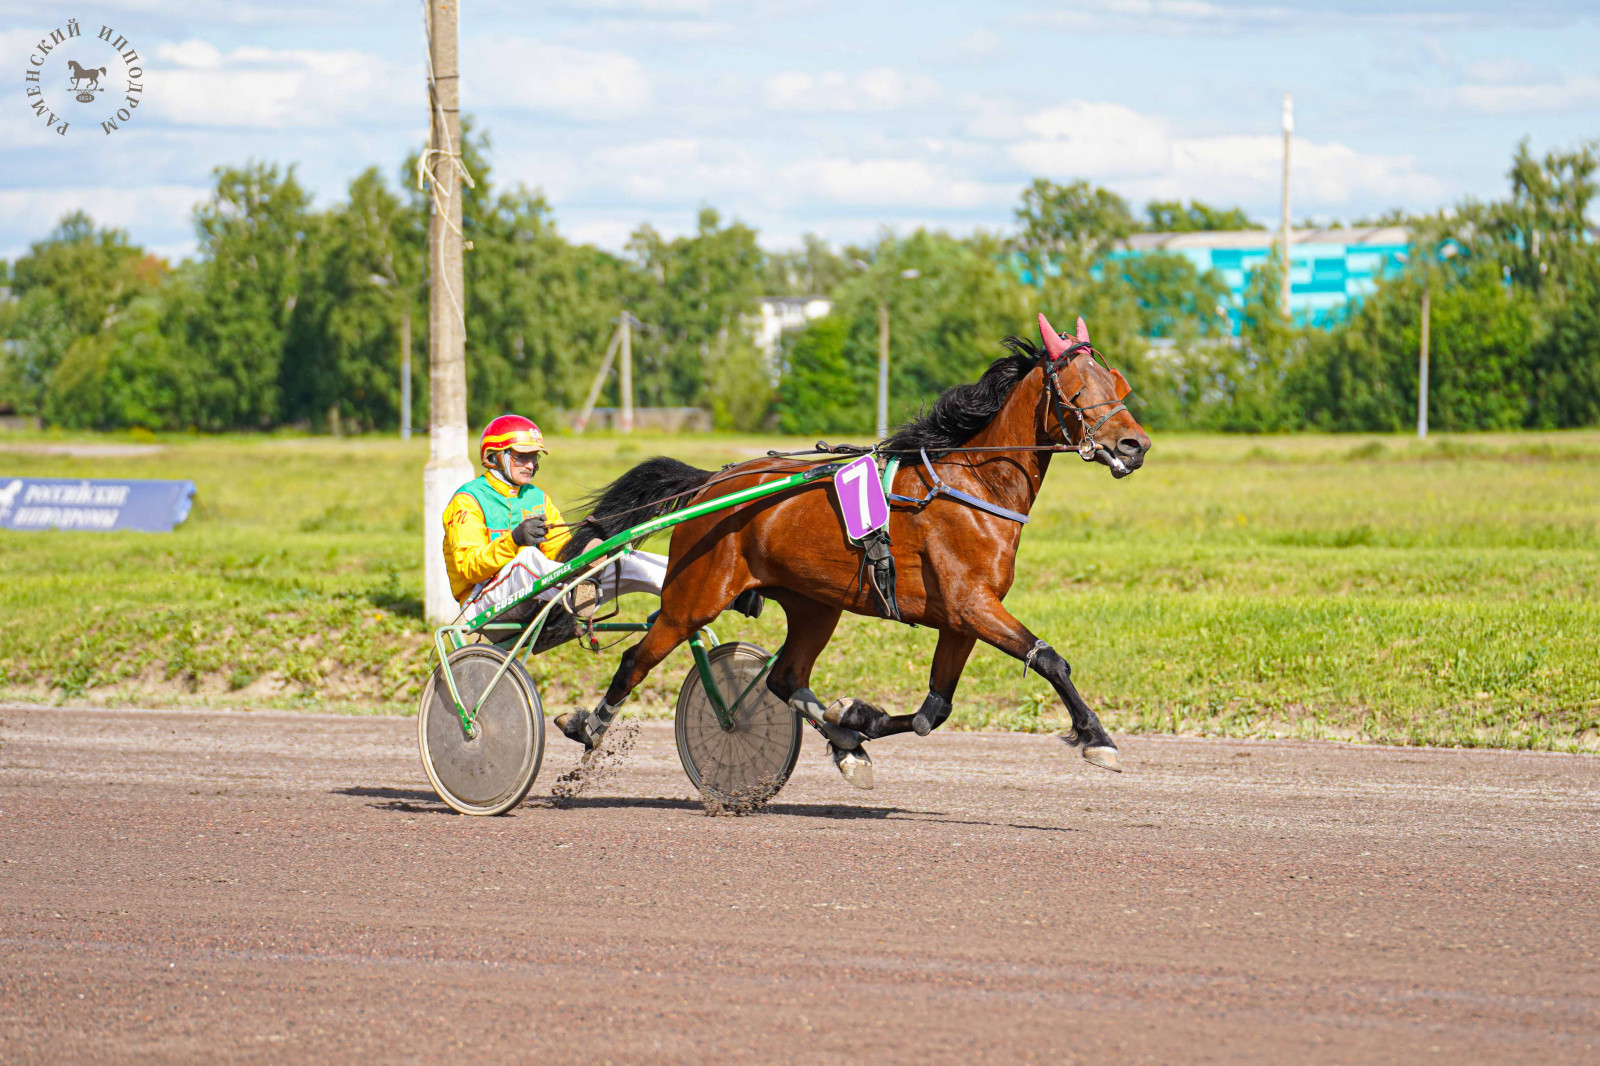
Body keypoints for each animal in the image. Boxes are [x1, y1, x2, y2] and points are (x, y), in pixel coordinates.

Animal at [556, 312, 1145, 784]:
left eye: (1117, 382)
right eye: (1074, 386)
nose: (1134, 445)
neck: (976, 486)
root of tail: (712, 484)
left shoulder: (961, 619)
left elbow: (934, 711)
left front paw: (857, 718)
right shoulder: (971, 605)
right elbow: (1049, 659)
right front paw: (1097, 739)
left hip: (815, 605)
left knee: (785, 678)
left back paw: (845, 743)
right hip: (694, 596)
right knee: (636, 658)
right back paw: (587, 725)